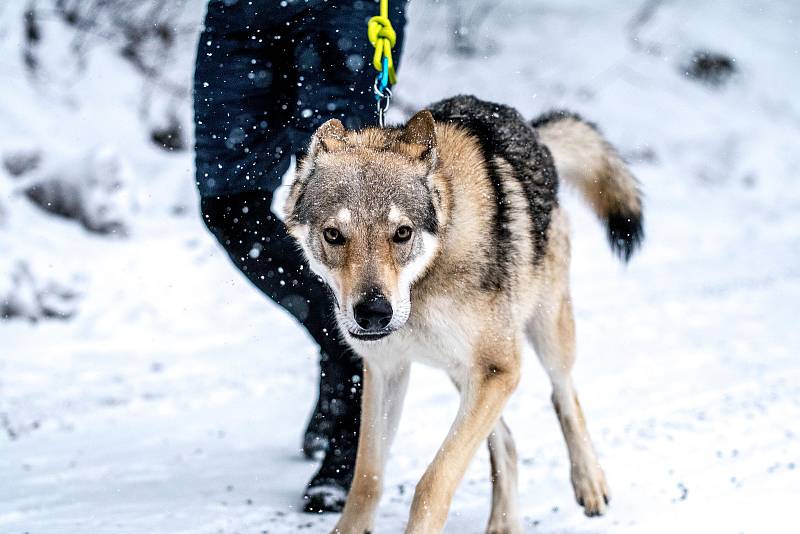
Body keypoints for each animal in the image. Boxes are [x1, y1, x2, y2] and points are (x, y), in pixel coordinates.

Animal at [284, 97, 640, 534]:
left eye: (402, 233)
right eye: (333, 235)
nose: (374, 314)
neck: (422, 286)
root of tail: (533, 130)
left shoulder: (499, 369)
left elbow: (434, 482)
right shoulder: (387, 370)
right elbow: (367, 477)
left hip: (542, 335)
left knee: (564, 394)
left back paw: (590, 482)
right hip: (463, 372)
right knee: (506, 439)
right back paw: (504, 524)